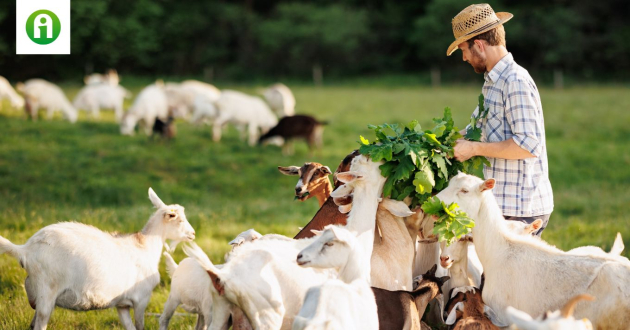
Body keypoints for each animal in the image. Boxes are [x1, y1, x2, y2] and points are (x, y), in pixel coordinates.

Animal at [0, 188, 196, 330]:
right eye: (179, 220)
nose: (193, 234)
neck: (144, 246)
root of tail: (26, 249)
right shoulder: (141, 299)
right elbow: (140, 327)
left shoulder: (122, 305)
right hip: (46, 292)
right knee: (40, 323)